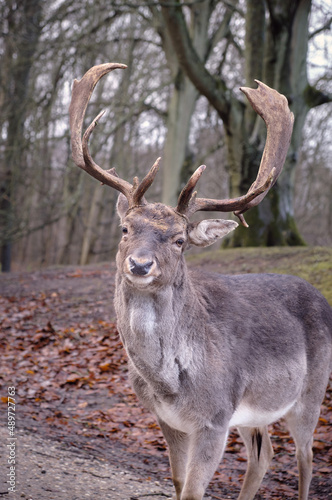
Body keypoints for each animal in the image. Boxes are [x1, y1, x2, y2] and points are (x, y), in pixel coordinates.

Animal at [68, 63, 330, 500]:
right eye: (125, 229)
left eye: (180, 240)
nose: (140, 265)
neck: (171, 384)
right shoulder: (168, 420)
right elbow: (177, 484)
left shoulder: (215, 417)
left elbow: (192, 491)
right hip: (254, 414)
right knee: (264, 454)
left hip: (311, 392)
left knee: (305, 457)